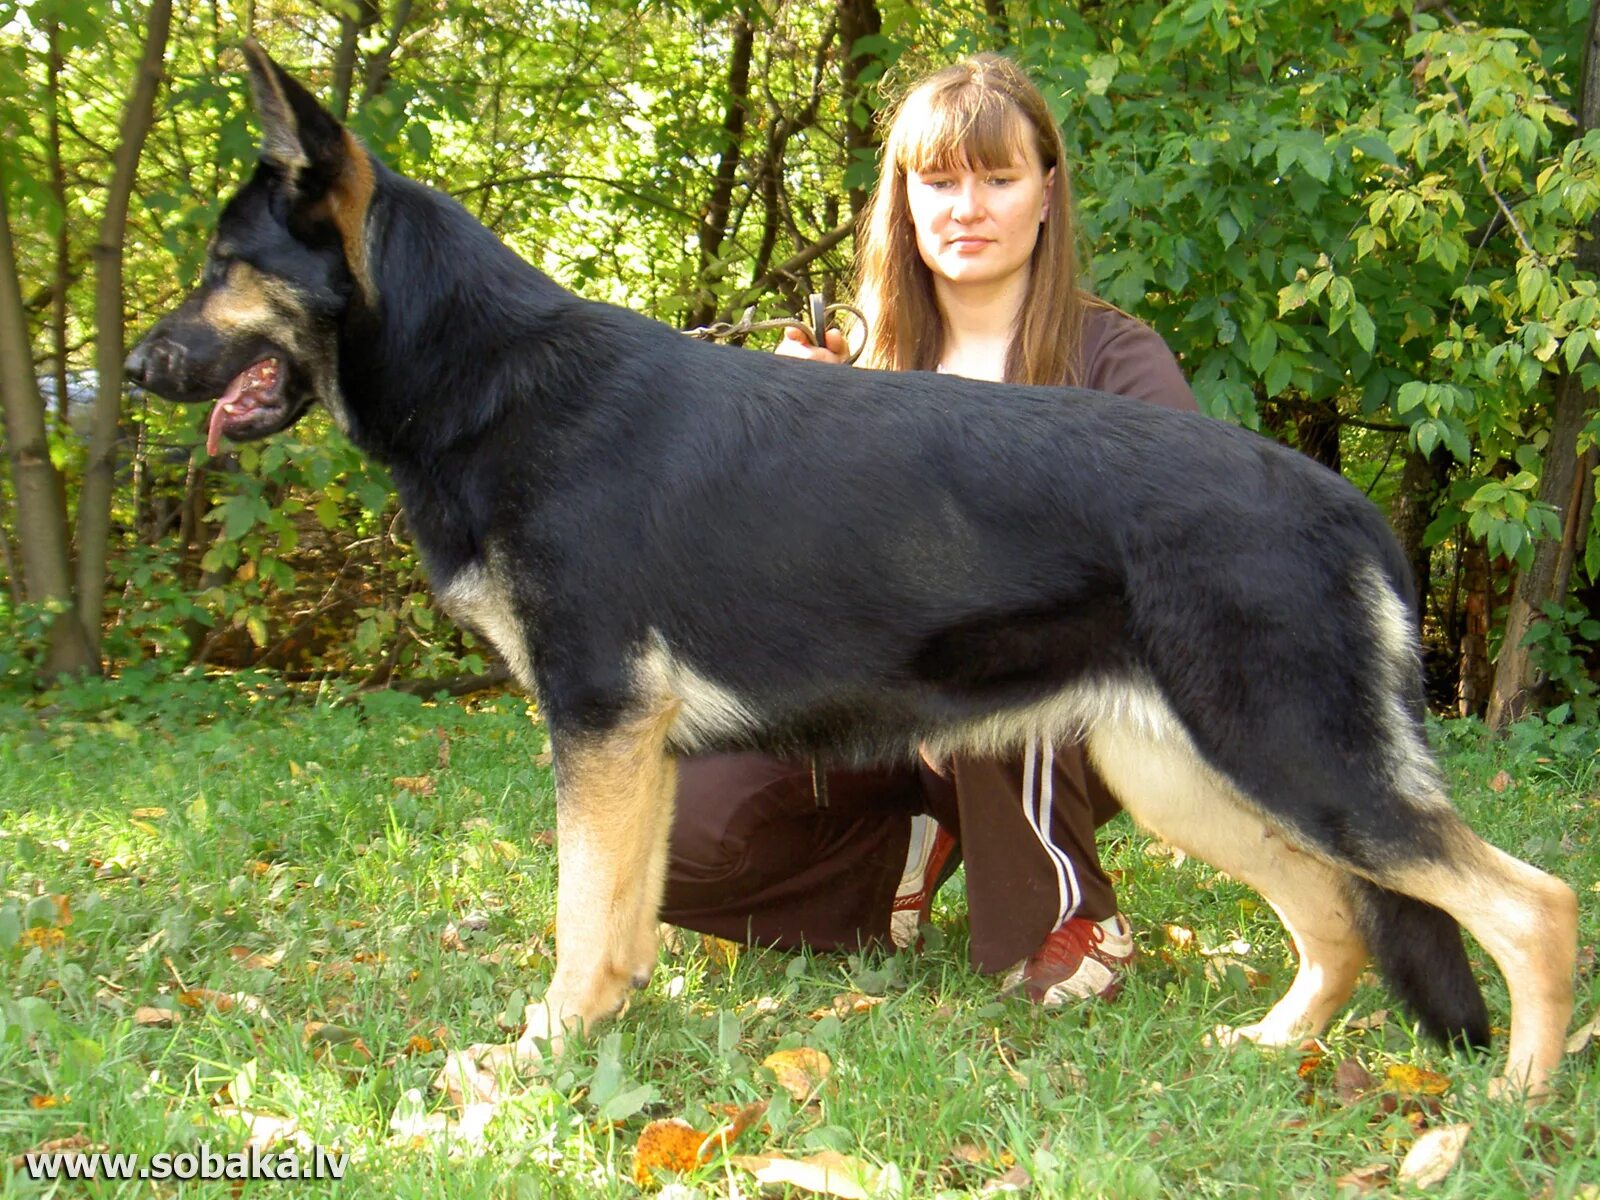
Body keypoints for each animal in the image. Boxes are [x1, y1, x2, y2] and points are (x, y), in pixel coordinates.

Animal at [131, 44, 1580, 1100]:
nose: (137, 368)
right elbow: (617, 929)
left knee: (1531, 903)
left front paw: (532, 1063)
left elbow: (578, 923)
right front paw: (596, 1047)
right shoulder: (634, 754)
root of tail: (1345, 502)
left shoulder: (598, 725)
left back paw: (1516, 1103)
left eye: (222, 271)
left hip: (1293, 760)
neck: (481, 375)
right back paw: (1279, 1051)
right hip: (1197, 774)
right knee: (1338, 918)